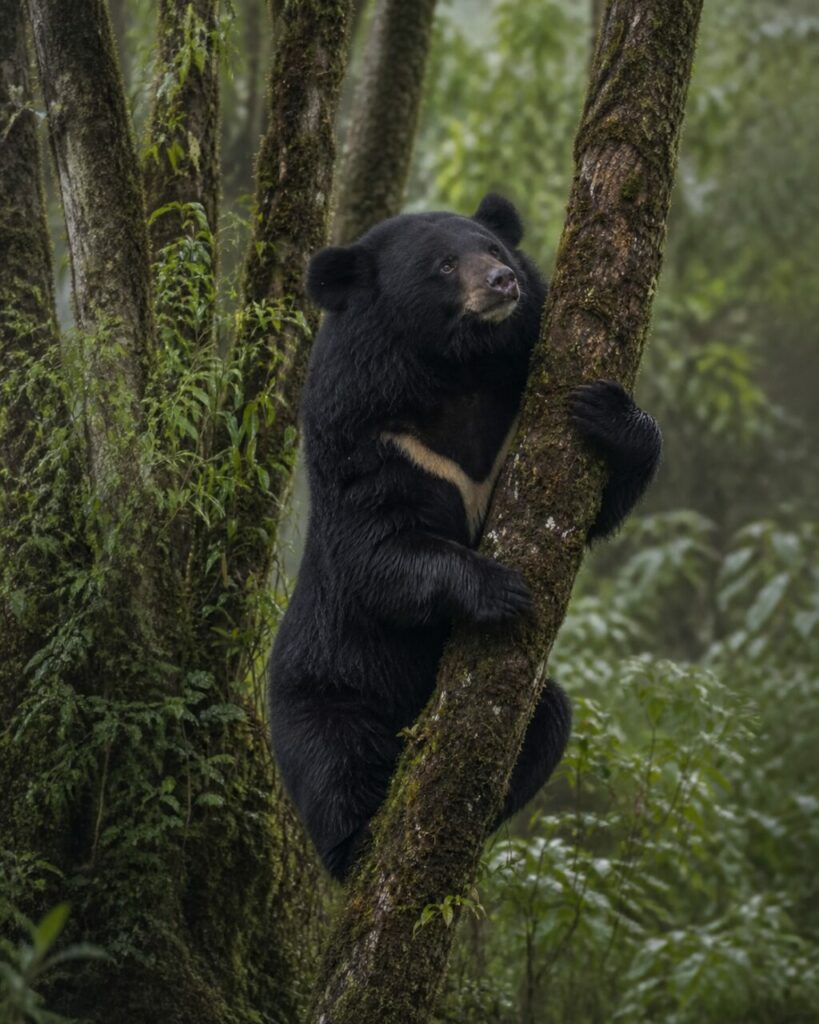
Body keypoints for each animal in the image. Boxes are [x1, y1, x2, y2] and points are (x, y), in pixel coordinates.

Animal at [268, 194, 662, 880]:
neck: (456, 370)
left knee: (549, 720)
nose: (503, 282)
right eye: (446, 266)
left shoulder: (512, 421)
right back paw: (357, 842)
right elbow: (376, 547)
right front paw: (500, 588)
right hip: (324, 690)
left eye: (496, 250)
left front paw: (607, 412)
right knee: (334, 765)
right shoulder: (370, 437)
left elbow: (598, 506)